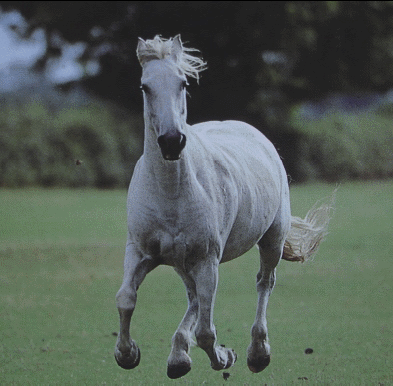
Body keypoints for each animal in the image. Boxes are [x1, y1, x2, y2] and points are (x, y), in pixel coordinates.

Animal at [114, 34, 334, 378]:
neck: (170, 191)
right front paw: (127, 354)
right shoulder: (140, 252)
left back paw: (257, 353)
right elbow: (126, 299)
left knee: (263, 283)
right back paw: (179, 356)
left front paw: (224, 356)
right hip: (183, 261)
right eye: (144, 87)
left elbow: (206, 331)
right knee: (194, 298)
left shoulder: (207, 260)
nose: (172, 141)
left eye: (182, 84)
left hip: (270, 239)